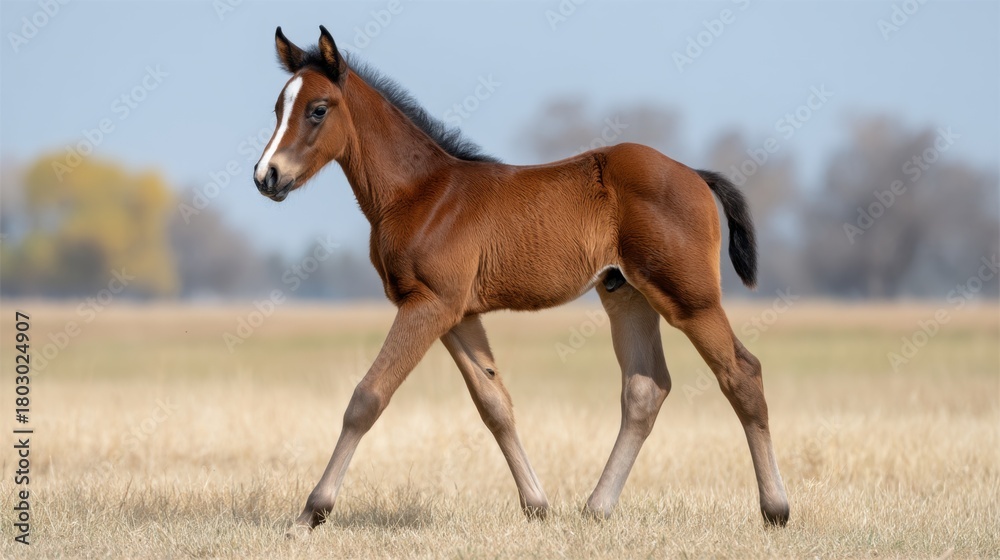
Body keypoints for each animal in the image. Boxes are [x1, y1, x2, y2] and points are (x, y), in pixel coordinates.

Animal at [253, 26, 789, 537]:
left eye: (318, 109)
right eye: (278, 107)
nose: (267, 176)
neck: (420, 193)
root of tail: (695, 174)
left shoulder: (428, 304)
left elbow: (367, 398)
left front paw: (312, 512)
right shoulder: (457, 313)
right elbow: (495, 403)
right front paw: (537, 505)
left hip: (690, 298)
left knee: (742, 373)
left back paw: (776, 509)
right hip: (627, 294)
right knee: (645, 390)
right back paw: (596, 508)